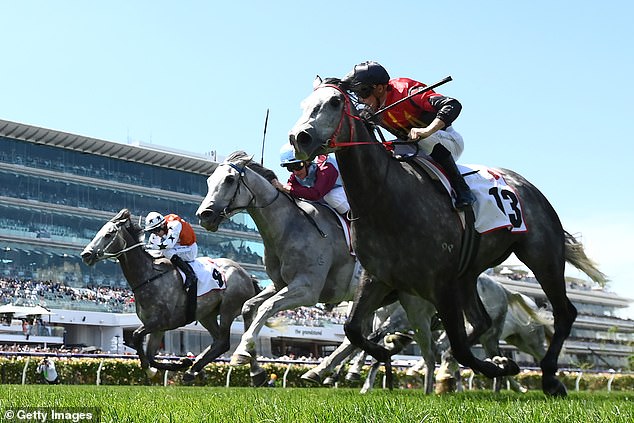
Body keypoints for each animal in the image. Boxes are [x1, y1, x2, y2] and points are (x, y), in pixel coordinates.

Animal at [81, 209, 262, 384]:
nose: (86, 254)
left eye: (109, 234)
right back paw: (194, 369)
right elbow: (150, 355)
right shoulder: (156, 327)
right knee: (219, 343)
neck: (149, 276)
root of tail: (247, 275)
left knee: (225, 340)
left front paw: (159, 368)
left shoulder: (162, 321)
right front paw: (175, 364)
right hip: (207, 315)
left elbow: (137, 336)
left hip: (228, 308)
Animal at [195, 153, 436, 390]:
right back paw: (322, 371)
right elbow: (249, 307)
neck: (289, 226)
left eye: (229, 179)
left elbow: (267, 307)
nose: (204, 215)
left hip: (401, 306)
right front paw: (256, 371)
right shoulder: (280, 284)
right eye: (208, 181)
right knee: (357, 334)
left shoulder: (308, 289)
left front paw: (243, 351)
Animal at [288, 78, 604, 400]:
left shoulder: (440, 283)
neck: (386, 196)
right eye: (304, 104)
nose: (299, 138)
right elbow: (353, 330)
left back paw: (550, 378)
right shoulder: (378, 277)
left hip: (542, 255)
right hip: (469, 274)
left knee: (563, 312)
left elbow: (459, 348)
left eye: (335, 103)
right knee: (481, 323)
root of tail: (528, 186)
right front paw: (378, 355)